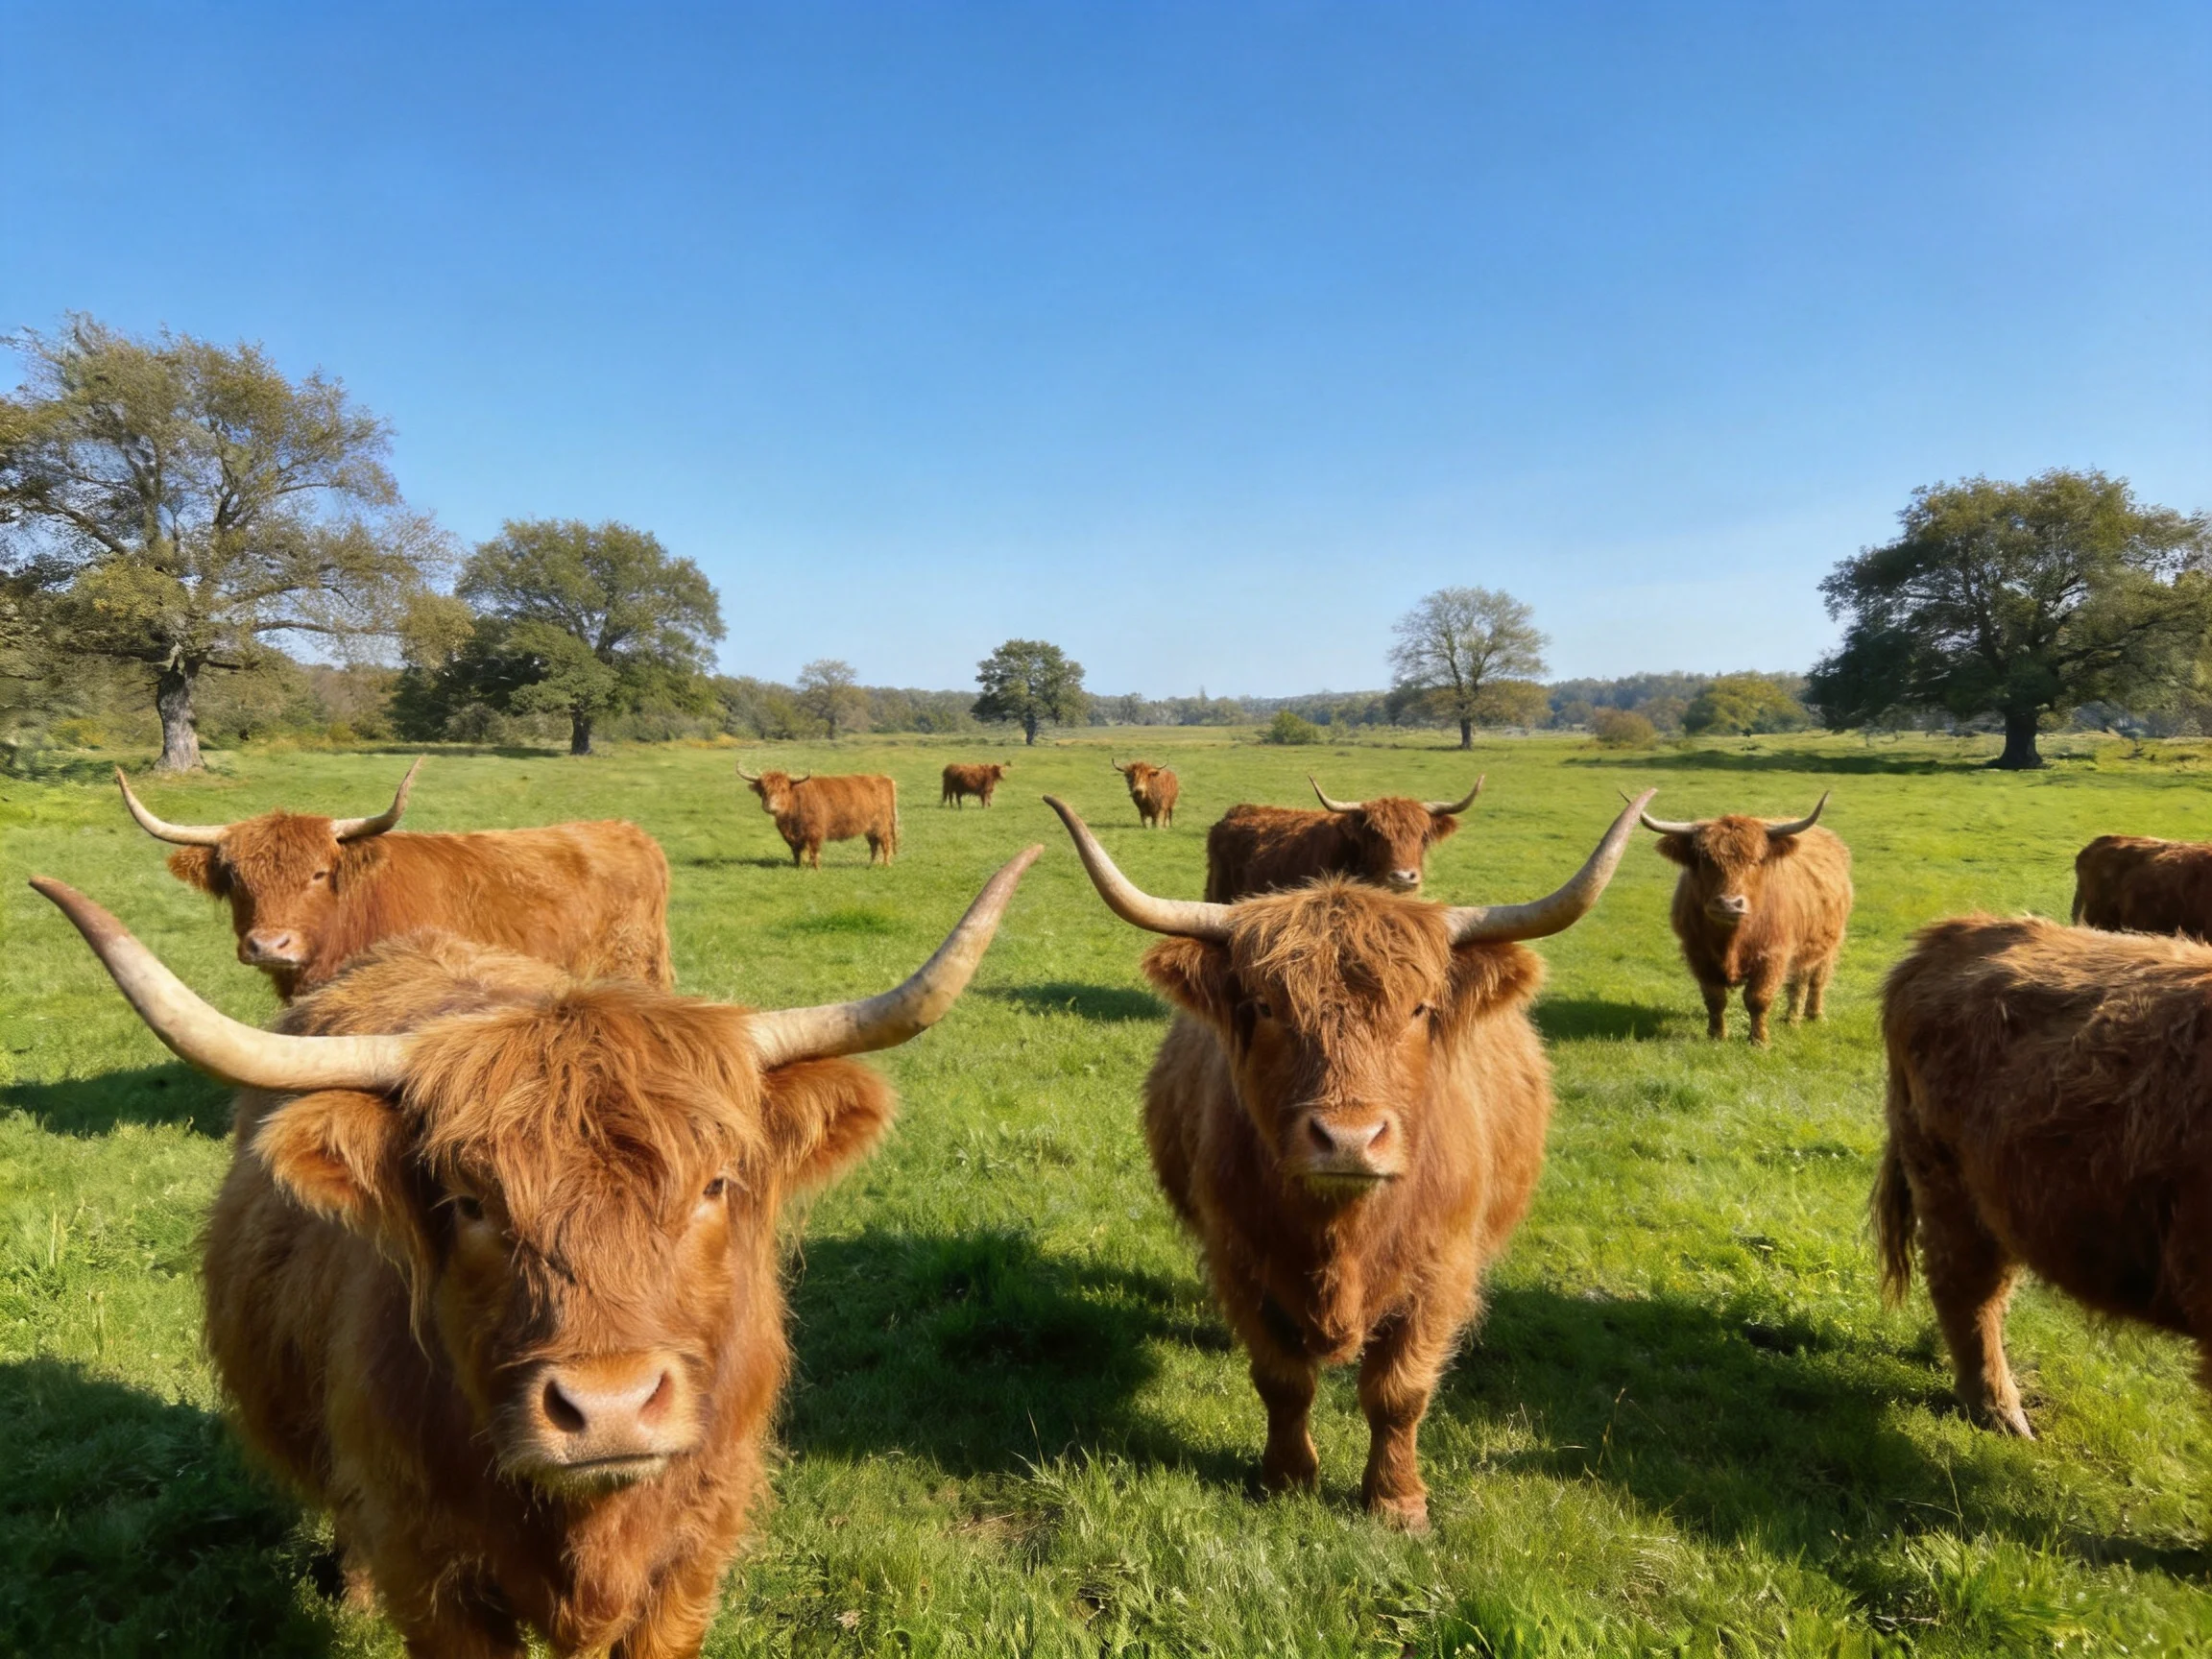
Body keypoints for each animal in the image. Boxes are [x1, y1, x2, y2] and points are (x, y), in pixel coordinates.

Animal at [737, 764, 898, 867]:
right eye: (763, 790)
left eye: (783, 790)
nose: (771, 807)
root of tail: (884, 779)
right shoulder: (793, 837)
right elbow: (797, 851)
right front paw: (799, 866)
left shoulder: (815, 832)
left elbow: (814, 852)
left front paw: (815, 868)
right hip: (870, 828)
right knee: (874, 845)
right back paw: (870, 864)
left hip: (882, 826)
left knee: (885, 843)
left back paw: (885, 865)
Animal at [1044, 789, 1651, 1529]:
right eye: (1266, 1006)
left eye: (1419, 1008)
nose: (1348, 1139)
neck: (1342, 1234)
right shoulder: (1240, 1260)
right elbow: (1281, 1380)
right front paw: (1286, 1479)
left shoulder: (1441, 1270)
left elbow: (1399, 1391)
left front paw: (1396, 1501)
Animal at [1638, 794, 1851, 1043]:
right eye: (1705, 861)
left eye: (1755, 861)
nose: (1729, 904)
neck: (1732, 941)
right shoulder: (1698, 954)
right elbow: (1715, 999)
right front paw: (1716, 1036)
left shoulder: (1773, 955)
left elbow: (1758, 999)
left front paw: (1759, 1041)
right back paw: (1792, 1019)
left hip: (1828, 945)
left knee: (1813, 980)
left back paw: (1809, 1016)